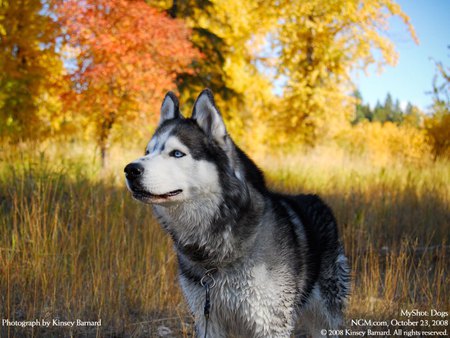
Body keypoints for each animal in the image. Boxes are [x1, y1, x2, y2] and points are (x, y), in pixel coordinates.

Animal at [125, 88, 350, 336]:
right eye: (148, 151)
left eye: (176, 153)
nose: (130, 170)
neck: (215, 253)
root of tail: (314, 198)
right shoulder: (207, 318)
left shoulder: (271, 322)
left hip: (326, 315)